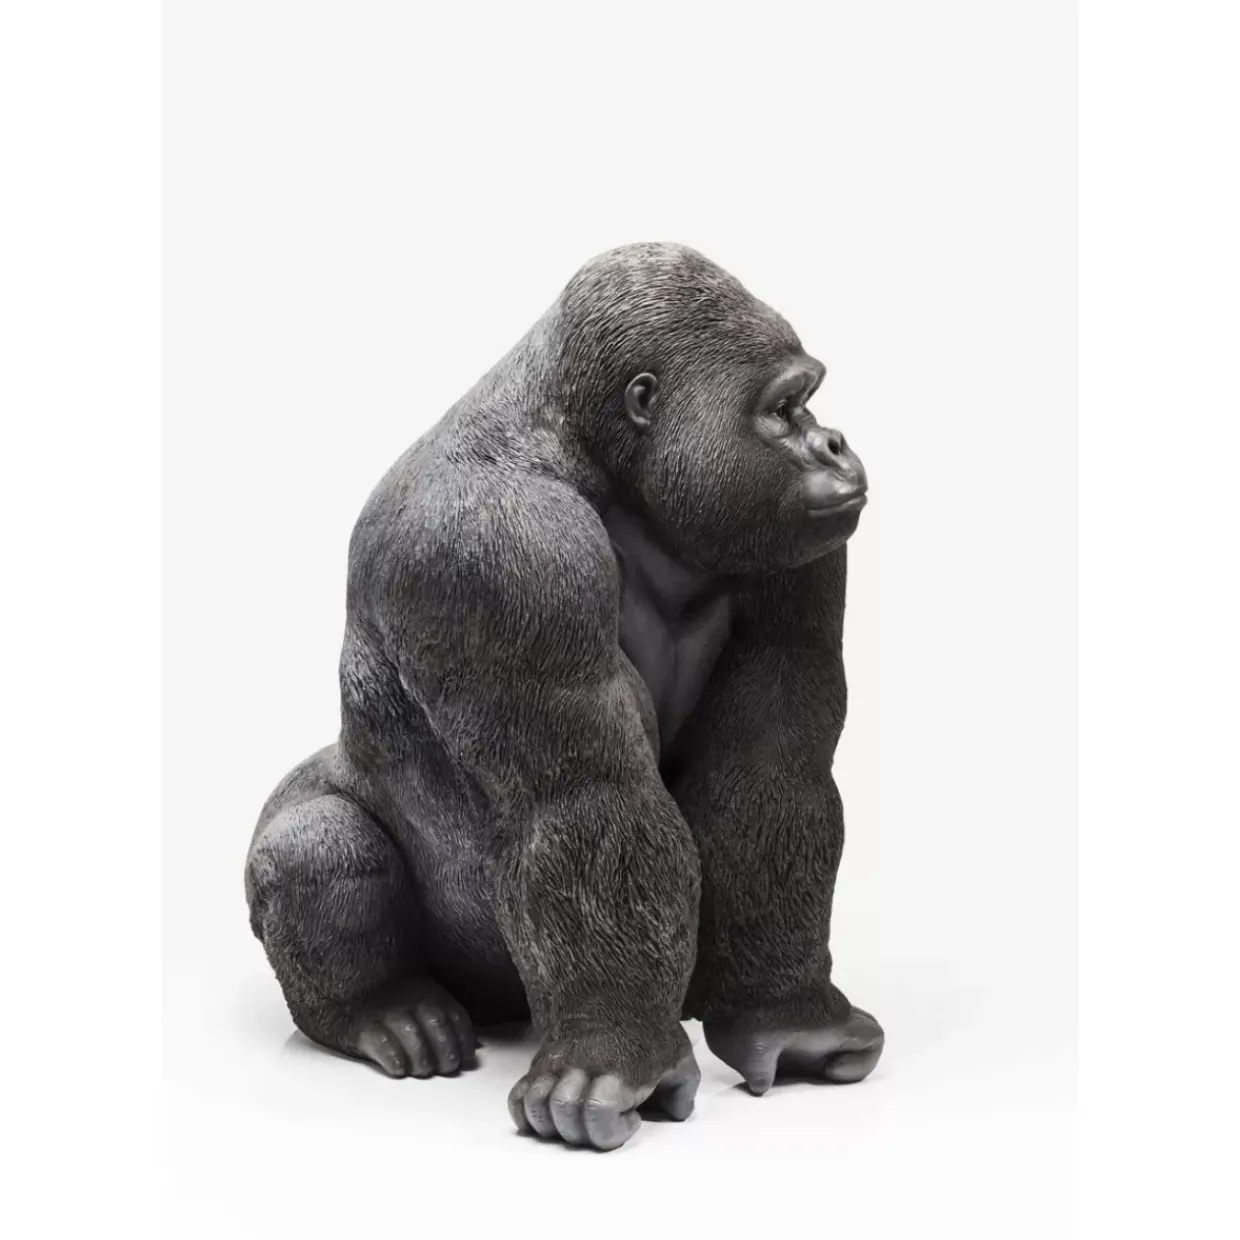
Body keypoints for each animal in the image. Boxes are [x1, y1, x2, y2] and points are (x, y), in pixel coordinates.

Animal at [245, 243, 884, 1151]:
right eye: (786, 407)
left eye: (809, 404)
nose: (832, 442)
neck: (589, 444)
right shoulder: (493, 546)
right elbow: (582, 799)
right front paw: (616, 1052)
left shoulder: (794, 542)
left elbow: (768, 773)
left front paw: (786, 1013)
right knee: (316, 844)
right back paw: (379, 1009)